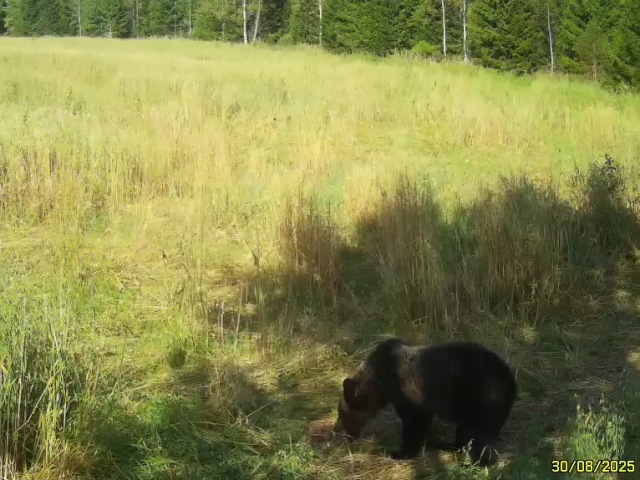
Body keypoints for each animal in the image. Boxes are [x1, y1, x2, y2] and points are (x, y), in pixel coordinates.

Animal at [332, 338, 517, 467]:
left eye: (342, 413)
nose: (336, 430)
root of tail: (511, 381)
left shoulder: (408, 393)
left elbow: (414, 422)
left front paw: (399, 452)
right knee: (465, 430)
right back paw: (446, 445)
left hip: (484, 397)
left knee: (479, 434)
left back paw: (475, 463)